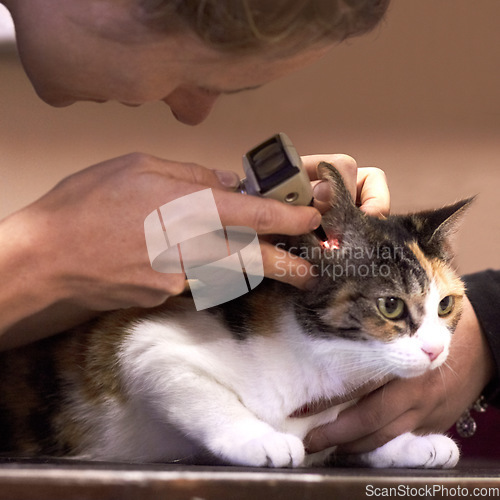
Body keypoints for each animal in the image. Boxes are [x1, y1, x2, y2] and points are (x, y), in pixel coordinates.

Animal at [0, 164, 468, 468]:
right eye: (390, 305)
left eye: (446, 305)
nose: (435, 350)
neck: (327, 362)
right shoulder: (140, 342)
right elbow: (198, 390)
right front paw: (259, 438)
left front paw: (408, 444)